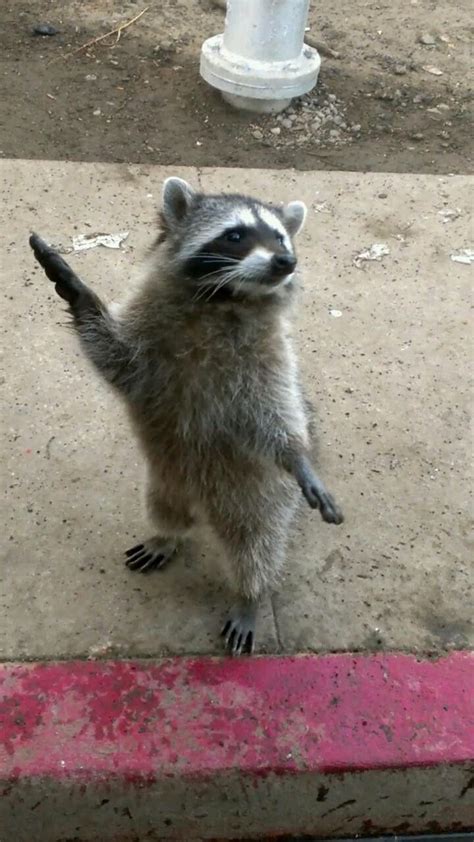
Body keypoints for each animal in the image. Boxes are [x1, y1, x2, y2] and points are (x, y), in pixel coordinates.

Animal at [29, 177, 343, 655]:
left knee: (257, 545)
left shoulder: (268, 356)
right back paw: (167, 536)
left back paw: (250, 595)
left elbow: (277, 413)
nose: (286, 261)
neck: (223, 299)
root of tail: (205, 504)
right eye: (236, 234)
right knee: (166, 510)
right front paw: (77, 290)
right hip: (166, 481)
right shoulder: (148, 339)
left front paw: (297, 456)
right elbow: (113, 357)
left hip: (262, 493)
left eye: (281, 237)